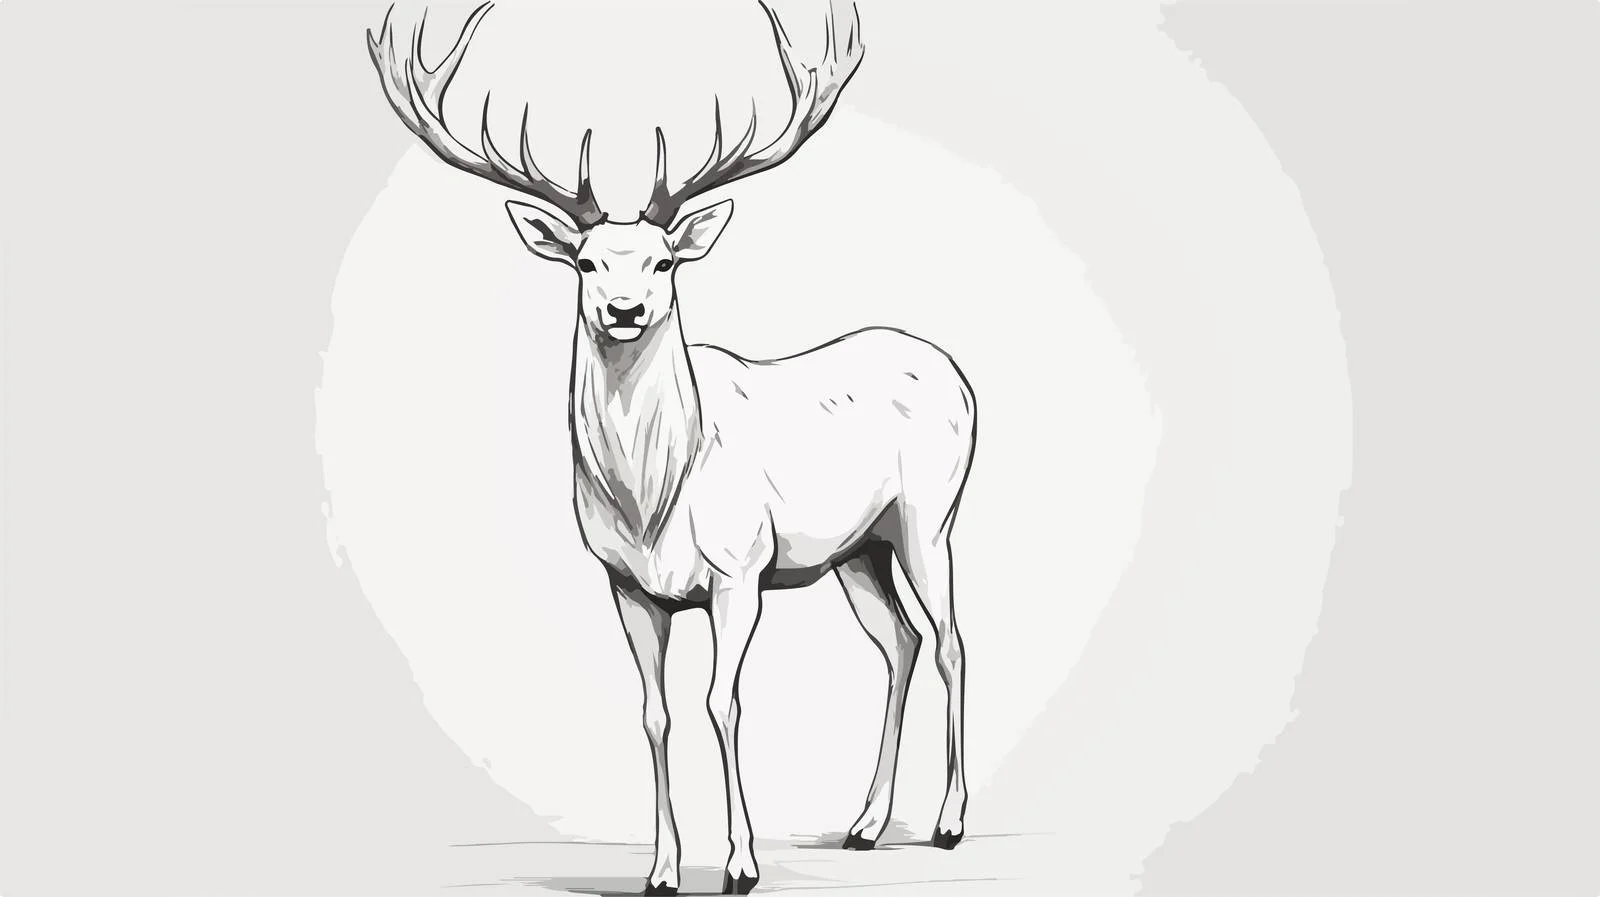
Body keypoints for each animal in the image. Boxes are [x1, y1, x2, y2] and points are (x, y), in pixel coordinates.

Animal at [368, 2, 974, 893]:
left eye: (662, 262)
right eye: (585, 262)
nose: (623, 309)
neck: (655, 497)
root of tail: (955, 370)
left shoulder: (740, 567)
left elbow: (725, 702)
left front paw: (741, 863)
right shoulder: (625, 583)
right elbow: (655, 713)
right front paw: (661, 866)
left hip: (931, 516)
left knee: (952, 641)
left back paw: (950, 821)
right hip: (857, 547)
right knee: (898, 642)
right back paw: (864, 824)